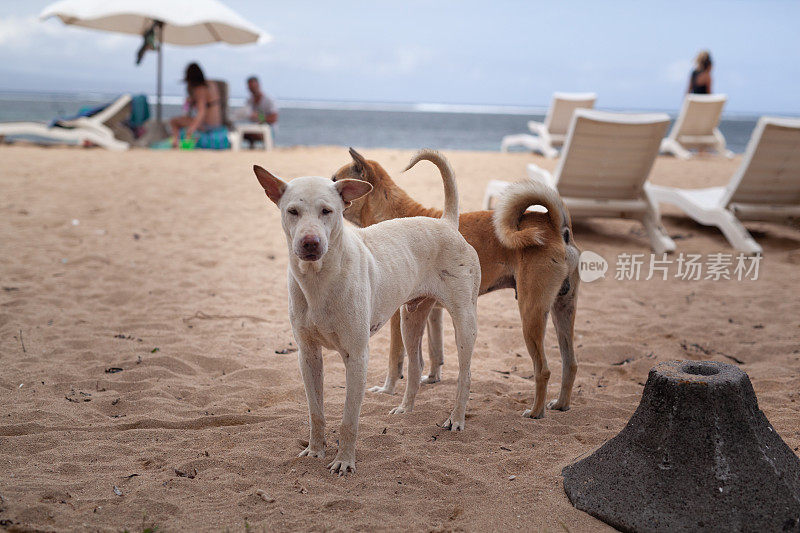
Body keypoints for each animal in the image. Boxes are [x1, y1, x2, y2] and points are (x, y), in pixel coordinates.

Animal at [255, 150, 482, 474]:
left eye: (327, 211)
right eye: (292, 211)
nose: (310, 243)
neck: (320, 279)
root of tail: (447, 224)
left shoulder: (357, 356)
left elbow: (349, 419)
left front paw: (344, 461)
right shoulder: (307, 356)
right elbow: (316, 412)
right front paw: (315, 450)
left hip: (464, 320)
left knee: (465, 373)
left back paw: (456, 419)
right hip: (410, 318)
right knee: (416, 365)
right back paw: (405, 409)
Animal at [332, 148, 580, 418]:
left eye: (335, 179)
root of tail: (556, 226)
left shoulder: (398, 315)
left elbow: (395, 357)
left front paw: (388, 389)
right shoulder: (430, 310)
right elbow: (434, 351)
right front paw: (432, 378)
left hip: (531, 312)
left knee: (543, 369)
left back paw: (535, 412)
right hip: (562, 309)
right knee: (570, 363)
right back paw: (561, 404)